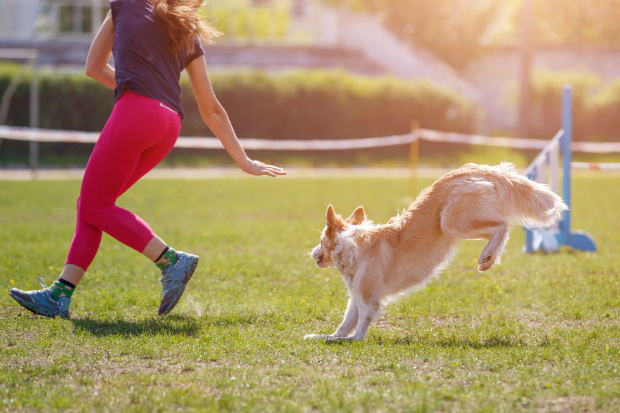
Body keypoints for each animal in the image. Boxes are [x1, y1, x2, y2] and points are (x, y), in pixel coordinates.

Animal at [304, 162, 568, 342]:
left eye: (320, 240)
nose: (312, 253)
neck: (351, 245)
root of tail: (471, 169)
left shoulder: (369, 298)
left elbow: (359, 330)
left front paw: (351, 340)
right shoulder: (356, 295)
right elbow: (344, 325)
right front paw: (324, 337)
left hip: (452, 222)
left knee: (502, 225)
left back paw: (487, 257)